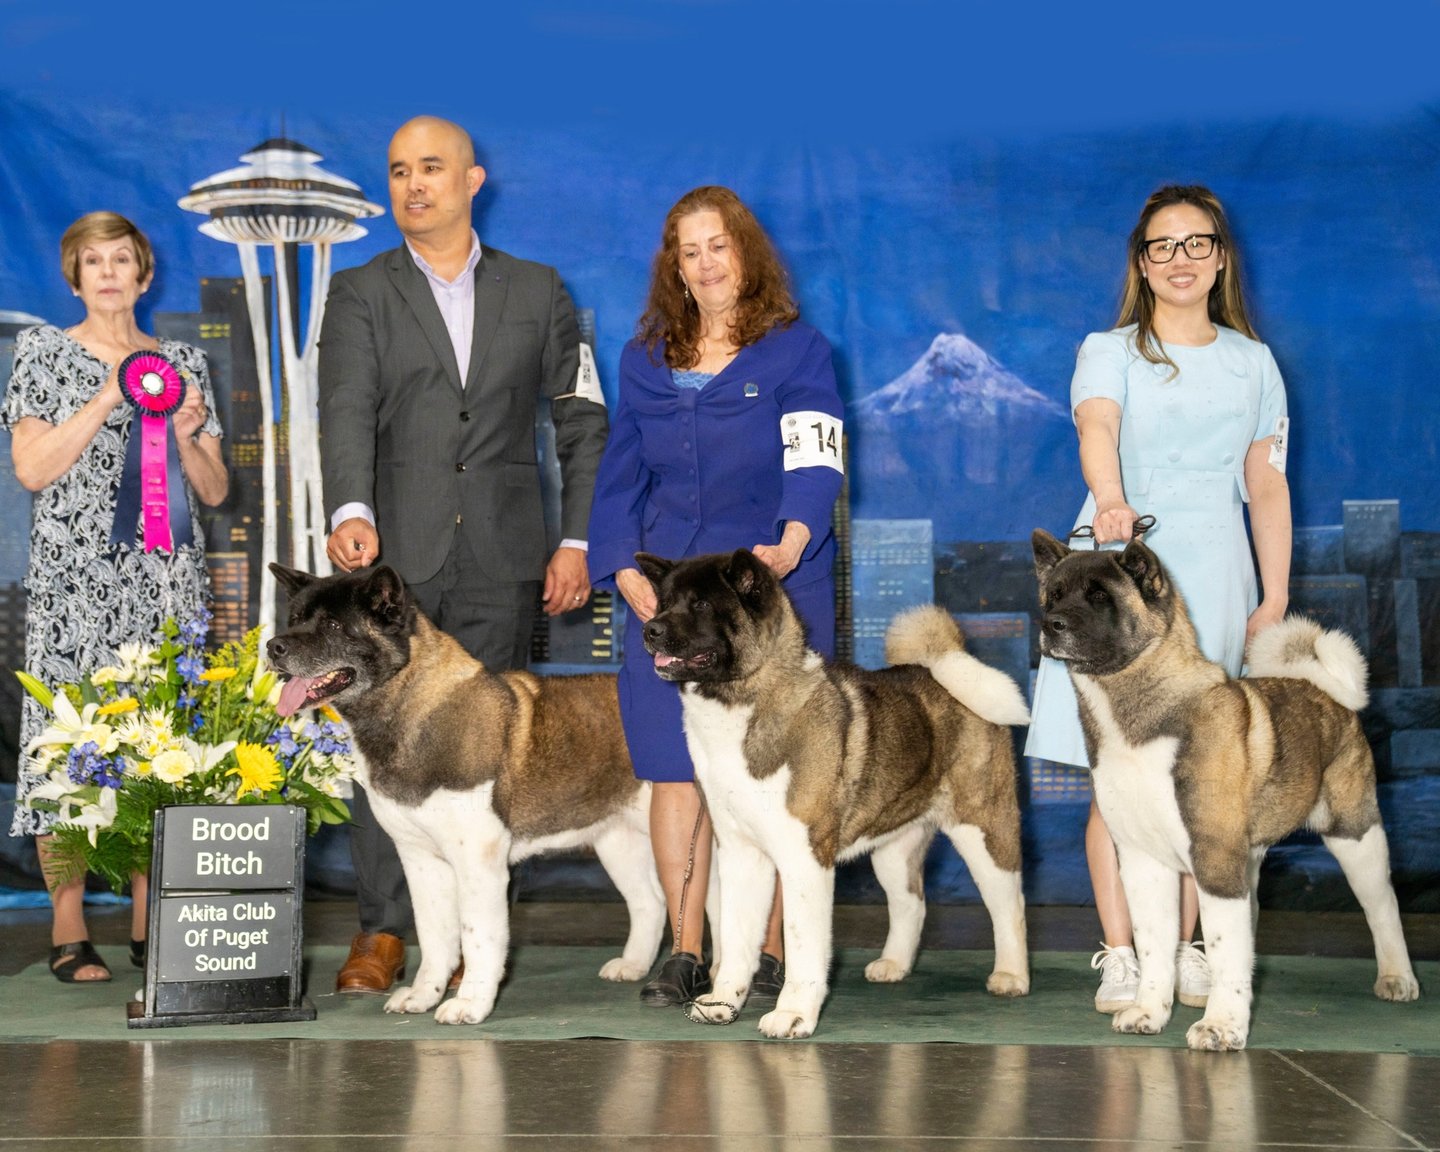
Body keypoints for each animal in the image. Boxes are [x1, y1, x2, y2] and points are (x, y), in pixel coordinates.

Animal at [265, 563, 665, 1025]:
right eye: (295, 619)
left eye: (332, 625)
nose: (274, 647)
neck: (408, 705)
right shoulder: (421, 860)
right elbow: (435, 934)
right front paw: (423, 995)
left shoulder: (478, 861)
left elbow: (478, 936)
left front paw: (470, 1003)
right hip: (618, 841)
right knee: (651, 902)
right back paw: (633, 966)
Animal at [635, 548, 1031, 1039]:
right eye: (663, 603)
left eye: (702, 605)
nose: (649, 629)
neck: (744, 703)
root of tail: (944, 669)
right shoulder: (742, 854)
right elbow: (736, 934)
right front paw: (723, 1003)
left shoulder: (805, 857)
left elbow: (803, 941)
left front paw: (792, 1014)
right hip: (893, 849)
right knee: (911, 903)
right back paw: (893, 965)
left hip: (983, 831)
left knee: (1009, 904)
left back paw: (1012, 976)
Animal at [1031, 529, 1420, 1051]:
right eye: (1053, 595)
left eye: (1099, 597)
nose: (1050, 624)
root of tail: (1325, 690)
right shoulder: (1143, 862)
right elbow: (1154, 945)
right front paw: (1149, 1012)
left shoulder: (1213, 857)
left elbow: (1221, 946)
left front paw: (1220, 1027)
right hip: (1252, 861)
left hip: (1356, 837)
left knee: (1383, 907)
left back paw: (1398, 978)